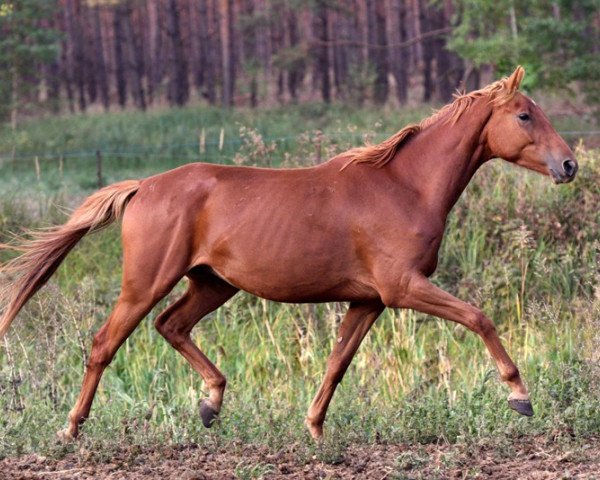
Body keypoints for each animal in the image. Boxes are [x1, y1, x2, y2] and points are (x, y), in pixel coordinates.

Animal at [0, 65, 576, 440]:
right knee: (104, 343)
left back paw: (211, 403)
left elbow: (338, 363)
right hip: (147, 282)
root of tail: (143, 186)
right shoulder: (403, 289)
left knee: (172, 326)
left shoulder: (369, 301)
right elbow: (479, 318)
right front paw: (519, 396)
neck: (405, 187)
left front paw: (316, 430)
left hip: (212, 282)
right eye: (524, 115)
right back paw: (71, 430)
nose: (569, 164)